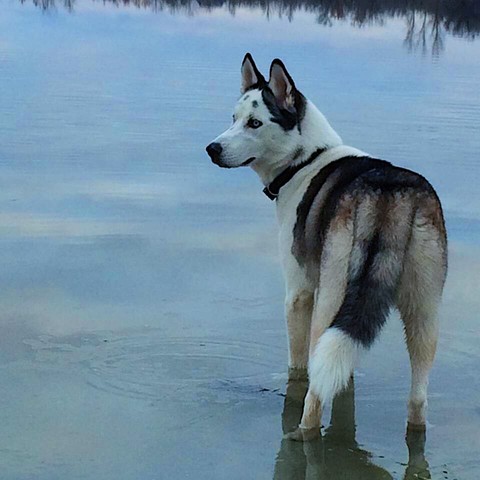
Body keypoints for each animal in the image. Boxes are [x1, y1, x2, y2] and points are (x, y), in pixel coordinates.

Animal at [204, 54, 448, 440]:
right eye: (233, 118)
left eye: (254, 123)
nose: (212, 149)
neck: (305, 159)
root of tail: (386, 195)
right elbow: (343, 373)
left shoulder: (299, 295)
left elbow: (300, 369)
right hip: (424, 313)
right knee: (417, 399)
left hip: (330, 302)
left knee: (315, 398)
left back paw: (300, 433)